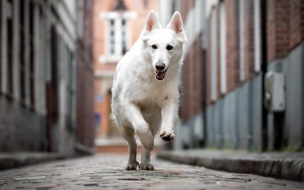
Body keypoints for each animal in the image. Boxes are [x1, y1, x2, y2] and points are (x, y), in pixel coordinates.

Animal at [111, 10, 188, 171]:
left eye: (169, 47)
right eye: (154, 46)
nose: (160, 66)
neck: (153, 77)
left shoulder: (169, 100)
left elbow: (167, 119)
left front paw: (167, 133)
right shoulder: (130, 103)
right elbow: (141, 126)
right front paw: (146, 140)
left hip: (154, 121)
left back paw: (145, 163)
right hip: (123, 126)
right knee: (132, 143)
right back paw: (131, 162)